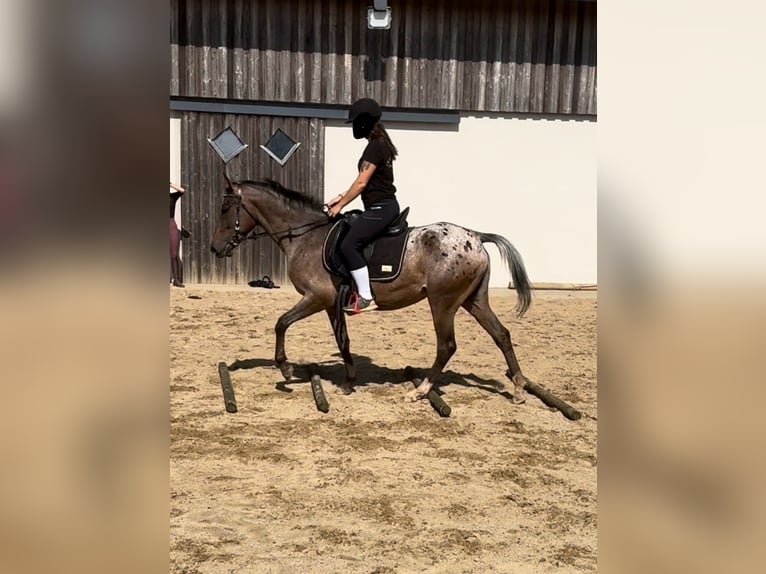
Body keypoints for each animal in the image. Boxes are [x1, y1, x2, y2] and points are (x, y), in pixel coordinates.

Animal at [210, 178, 584, 420]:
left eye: (227, 208)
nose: (215, 248)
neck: (306, 236)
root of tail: (475, 236)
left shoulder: (318, 297)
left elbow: (283, 323)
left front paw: (286, 368)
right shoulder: (331, 303)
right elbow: (341, 340)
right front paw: (347, 380)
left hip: (442, 302)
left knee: (447, 345)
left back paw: (420, 391)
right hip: (473, 301)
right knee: (501, 335)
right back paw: (519, 389)